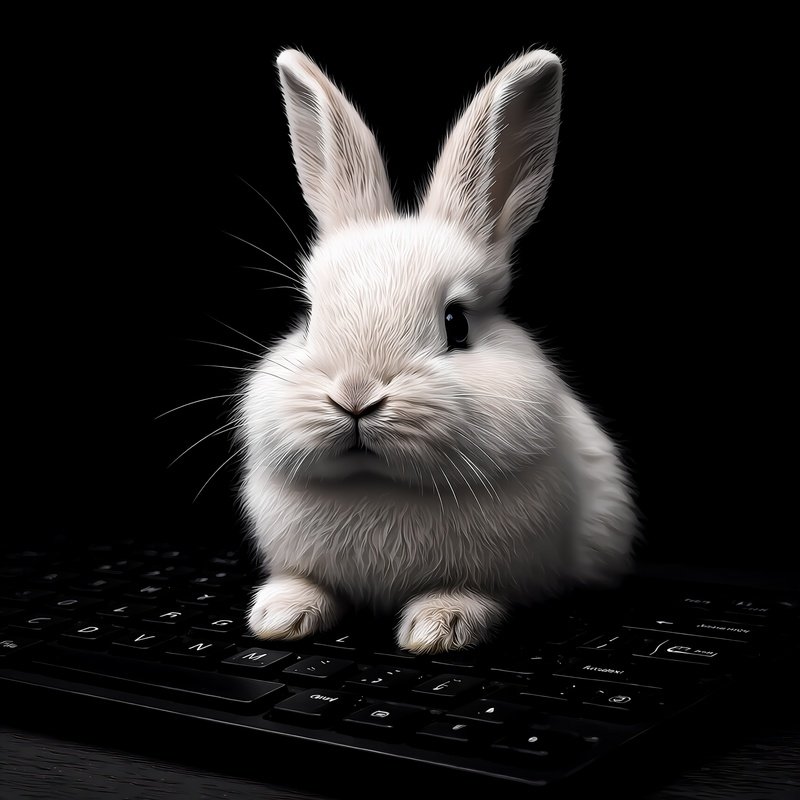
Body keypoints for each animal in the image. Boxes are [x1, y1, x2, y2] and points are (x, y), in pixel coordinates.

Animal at [242, 48, 637, 654]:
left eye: (457, 324)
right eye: (308, 320)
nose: (356, 397)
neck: (378, 487)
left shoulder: (501, 573)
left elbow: (473, 594)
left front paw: (438, 627)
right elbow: (305, 581)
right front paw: (278, 617)